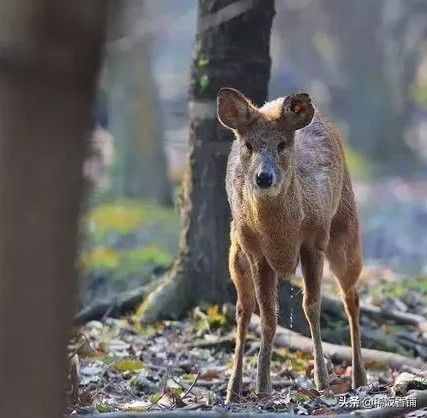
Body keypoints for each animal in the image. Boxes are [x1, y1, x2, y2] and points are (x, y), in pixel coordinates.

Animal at [217, 87, 368, 402]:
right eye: (249, 145)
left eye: (282, 144)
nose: (264, 177)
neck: (281, 234)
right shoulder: (256, 252)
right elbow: (267, 315)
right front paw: (262, 385)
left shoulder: (314, 240)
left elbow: (311, 306)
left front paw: (322, 380)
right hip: (235, 251)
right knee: (242, 309)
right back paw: (233, 389)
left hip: (345, 227)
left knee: (352, 297)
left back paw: (360, 377)